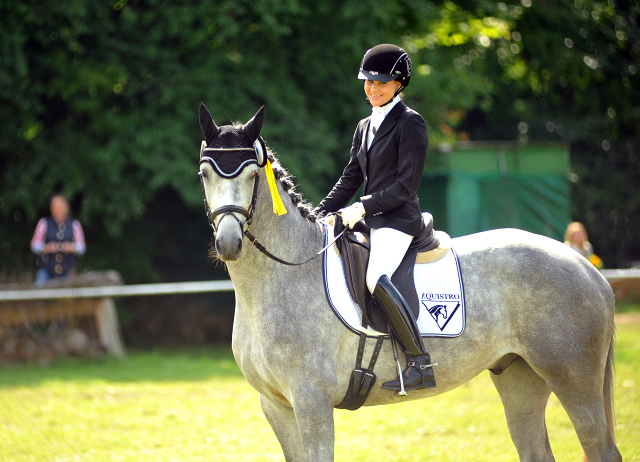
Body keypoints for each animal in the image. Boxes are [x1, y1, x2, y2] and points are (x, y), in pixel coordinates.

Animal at [196, 104, 620, 462]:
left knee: (600, 448)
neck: (281, 277)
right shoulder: (276, 405)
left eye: (252, 175)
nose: (230, 243)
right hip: (519, 377)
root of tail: (586, 268)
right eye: (205, 174)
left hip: (573, 378)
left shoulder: (311, 402)